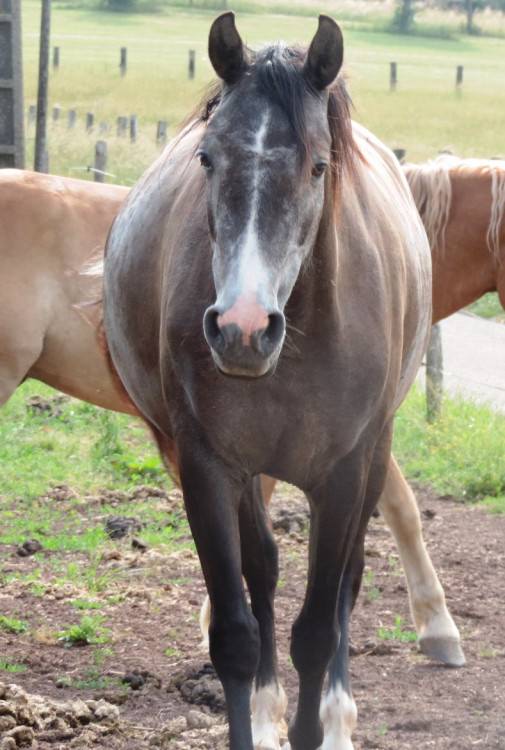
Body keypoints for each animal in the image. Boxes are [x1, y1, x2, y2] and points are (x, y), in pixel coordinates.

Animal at [104, 14, 432, 748]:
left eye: (318, 165)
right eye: (207, 159)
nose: (243, 329)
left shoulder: (342, 475)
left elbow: (316, 629)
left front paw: (318, 723)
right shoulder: (206, 467)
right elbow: (236, 632)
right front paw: (257, 716)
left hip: (374, 455)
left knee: (345, 586)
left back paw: (337, 716)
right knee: (264, 570)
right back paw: (268, 707)